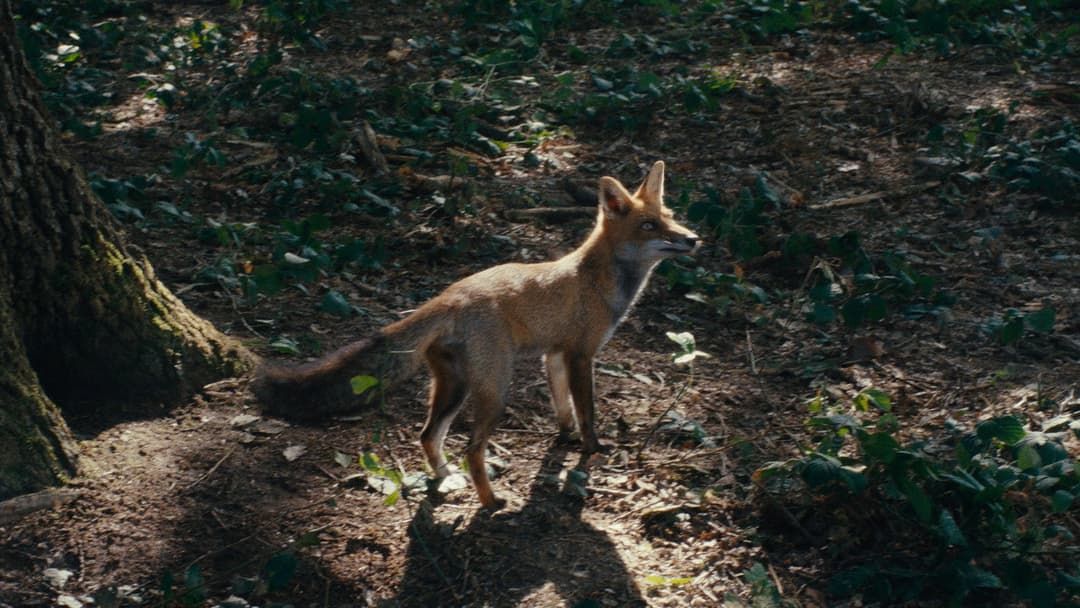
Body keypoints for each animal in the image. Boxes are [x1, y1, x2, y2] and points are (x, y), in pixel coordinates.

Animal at [252, 160, 699, 511]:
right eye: (649, 226)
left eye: (670, 215)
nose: (692, 238)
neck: (595, 279)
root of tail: (451, 294)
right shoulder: (580, 355)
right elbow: (588, 412)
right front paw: (591, 450)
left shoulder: (554, 355)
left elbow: (564, 409)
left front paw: (565, 438)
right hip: (494, 389)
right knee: (471, 447)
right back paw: (489, 501)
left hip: (457, 386)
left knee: (428, 435)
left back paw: (446, 479)